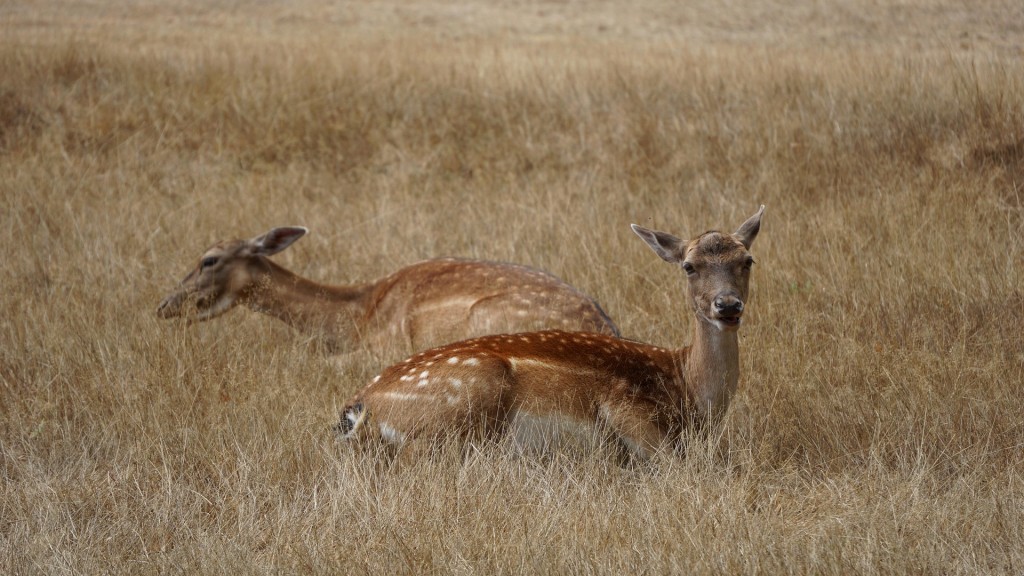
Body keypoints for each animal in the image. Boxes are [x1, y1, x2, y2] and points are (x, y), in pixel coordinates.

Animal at [334, 206, 765, 460]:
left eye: (748, 260)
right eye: (689, 266)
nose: (727, 305)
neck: (684, 388)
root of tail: (361, 406)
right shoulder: (624, 406)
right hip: (469, 393)